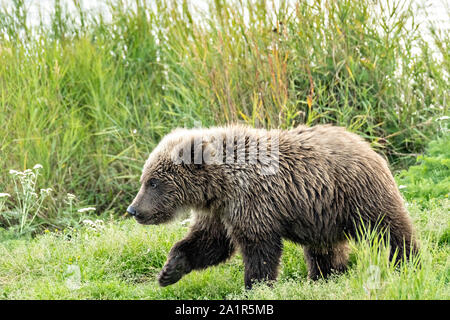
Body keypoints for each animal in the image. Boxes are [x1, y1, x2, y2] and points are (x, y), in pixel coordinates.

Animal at [127, 124, 418, 288]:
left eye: (153, 182)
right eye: (145, 179)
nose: (133, 210)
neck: (221, 184)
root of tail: (367, 144)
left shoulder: (253, 202)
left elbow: (259, 249)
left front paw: (255, 285)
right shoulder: (221, 211)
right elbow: (209, 243)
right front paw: (169, 270)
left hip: (356, 194)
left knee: (388, 229)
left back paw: (406, 263)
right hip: (322, 214)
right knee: (324, 248)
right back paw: (325, 275)